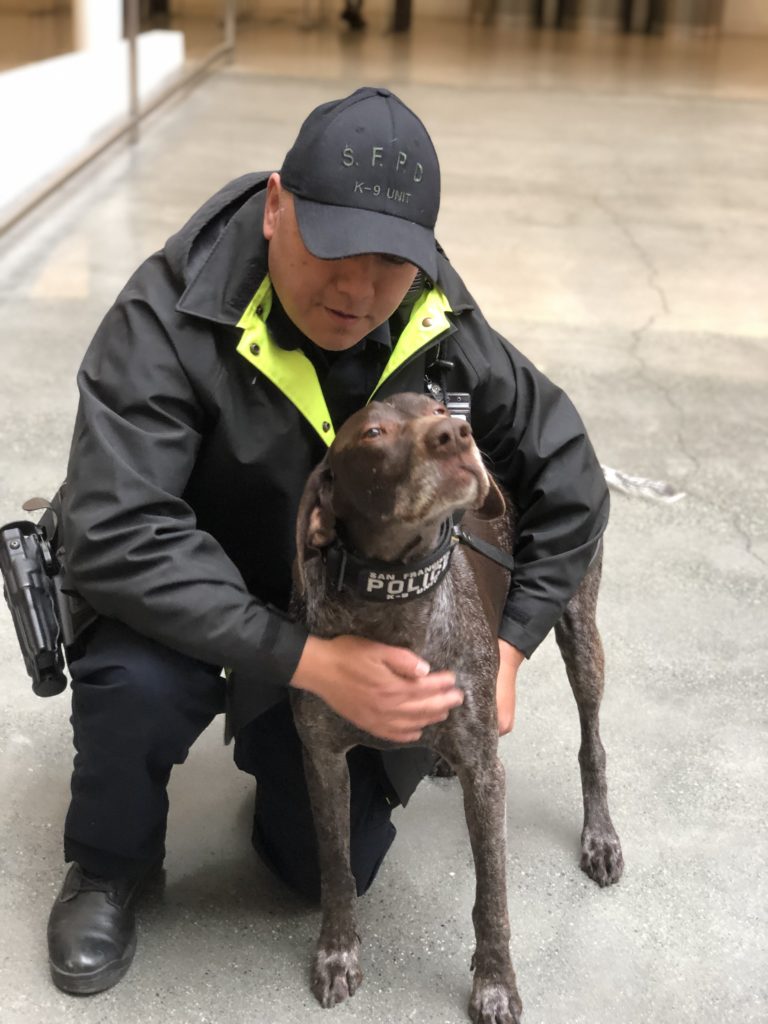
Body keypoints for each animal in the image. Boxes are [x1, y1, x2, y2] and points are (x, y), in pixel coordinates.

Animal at [290, 391, 622, 1024]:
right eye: (373, 434)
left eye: (437, 408)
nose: (458, 435)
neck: (396, 602)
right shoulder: (321, 759)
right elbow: (335, 867)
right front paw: (337, 953)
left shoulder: (487, 773)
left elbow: (491, 896)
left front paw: (494, 984)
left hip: (580, 628)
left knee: (593, 745)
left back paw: (601, 837)